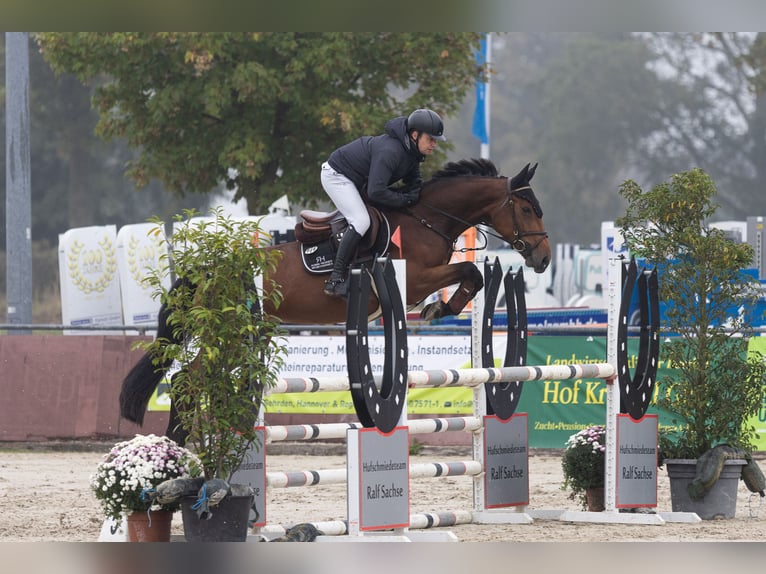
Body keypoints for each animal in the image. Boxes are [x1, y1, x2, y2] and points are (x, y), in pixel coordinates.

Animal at [118, 158, 552, 440]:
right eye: (527, 208)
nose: (544, 258)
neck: (427, 219)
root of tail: (209, 269)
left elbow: (472, 275)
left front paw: (442, 307)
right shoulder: (414, 280)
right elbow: (470, 273)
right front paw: (440, 306)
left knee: (187, 381)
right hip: (231, 334)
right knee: (187, 381)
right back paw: (177, 449)